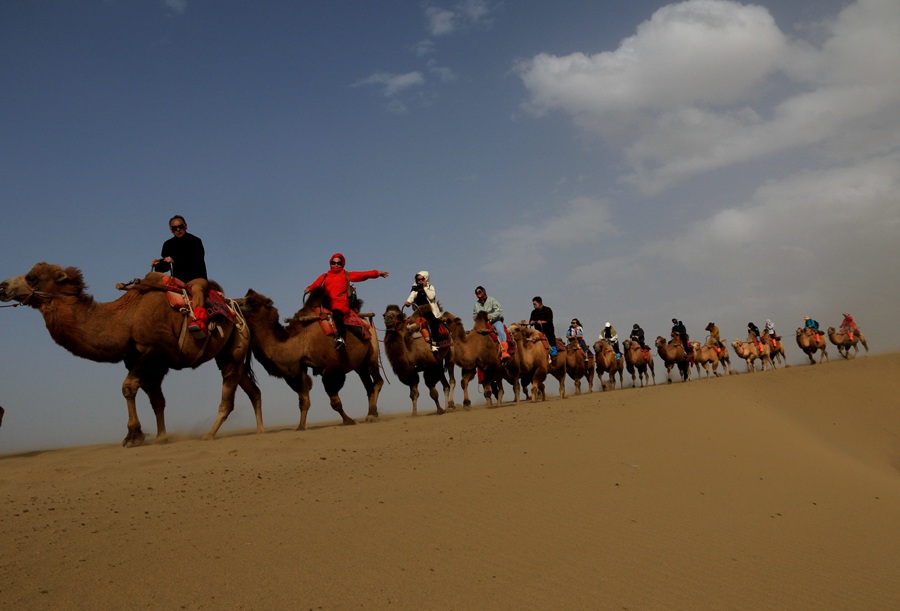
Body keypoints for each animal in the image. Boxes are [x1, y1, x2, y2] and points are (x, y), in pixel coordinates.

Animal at [0, 260, 262, 448]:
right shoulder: (142, 362)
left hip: (235, 347)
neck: (126, 319)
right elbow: (157, 400)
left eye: (32, 277)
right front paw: (161, 437)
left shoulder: (154, 352)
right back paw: (260, 430)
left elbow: (127, 388)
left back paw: (209, 434)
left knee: (228, 395)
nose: (3, 286)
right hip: (230, 352)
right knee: (251, 388)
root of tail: (235, 309)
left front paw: (133, 435)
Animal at [237, 286, 382, 430]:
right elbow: (304, 400)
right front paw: (300, 426)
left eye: (251, 301)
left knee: (377, 381)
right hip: (359, 365)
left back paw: (372, 416)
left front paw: (349, 420)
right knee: (368, 385)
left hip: (372, 350)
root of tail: (364, 319)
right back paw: (372, 413)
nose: (236, 303)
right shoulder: (299, 369)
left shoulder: (332, 369)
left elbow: (335, 402)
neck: (301, 342)